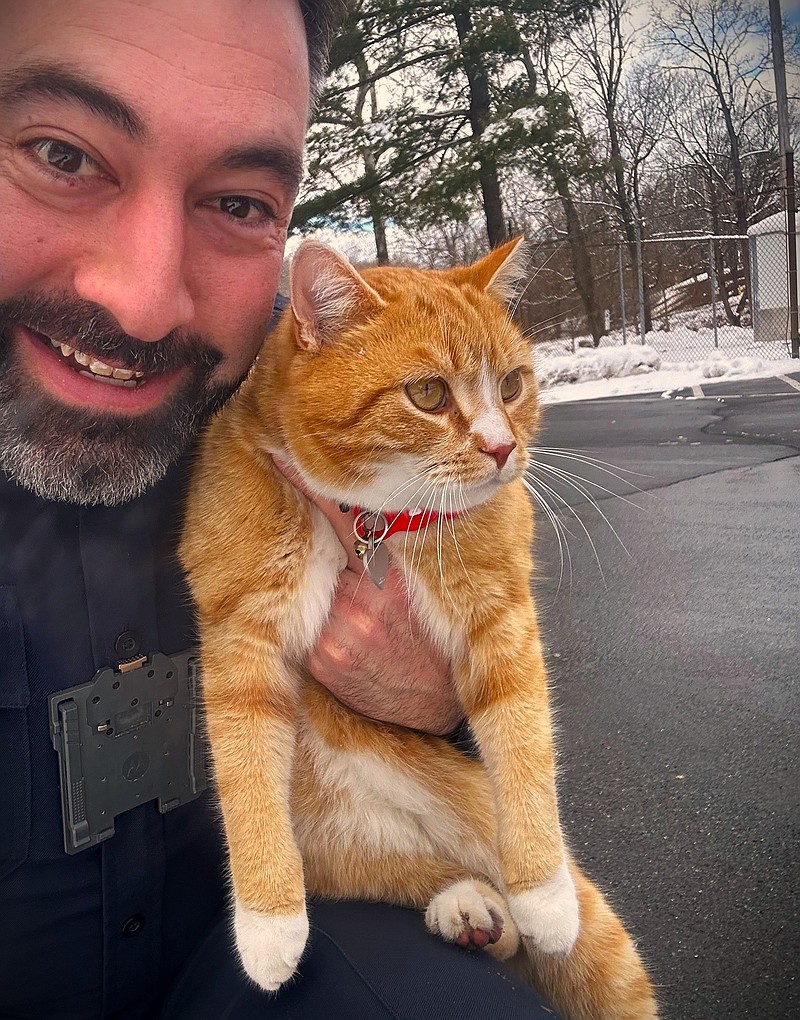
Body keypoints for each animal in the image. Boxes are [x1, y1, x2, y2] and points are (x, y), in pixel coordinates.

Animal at [179, 240, 657, 1020]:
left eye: (513, 385)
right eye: (429, 395)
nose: (503, 448)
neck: (376, 519)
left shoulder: (500, 618)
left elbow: (524, 743)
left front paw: (544, 894)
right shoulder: (240, 635)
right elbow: (246, 777)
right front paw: (268, 927)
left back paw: (500, 909)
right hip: (350, 850)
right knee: (412, 874)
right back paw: (468, 908)